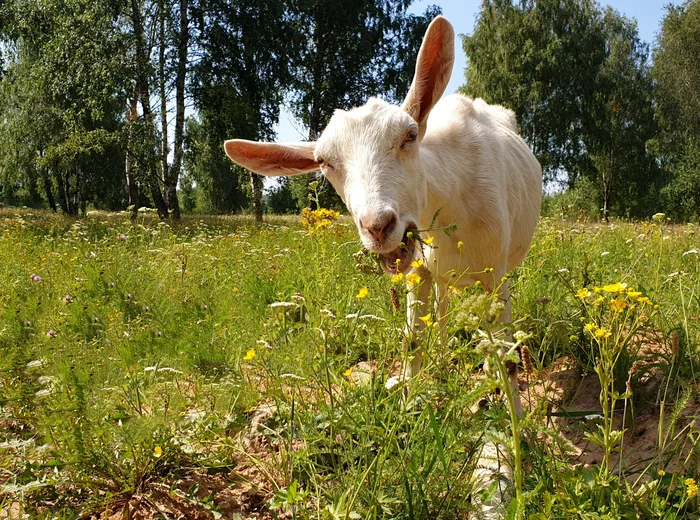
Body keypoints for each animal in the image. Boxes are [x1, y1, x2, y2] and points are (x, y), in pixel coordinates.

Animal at [224, 16, 540, 396]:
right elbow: (413, 340)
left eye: (409, 136)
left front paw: (511, 402)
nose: (377, 226)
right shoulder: (418, 270)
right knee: (443, 305)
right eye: (325, 162)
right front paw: (408, 393)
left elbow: (508, 358)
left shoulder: (496, 275)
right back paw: (445, 357)